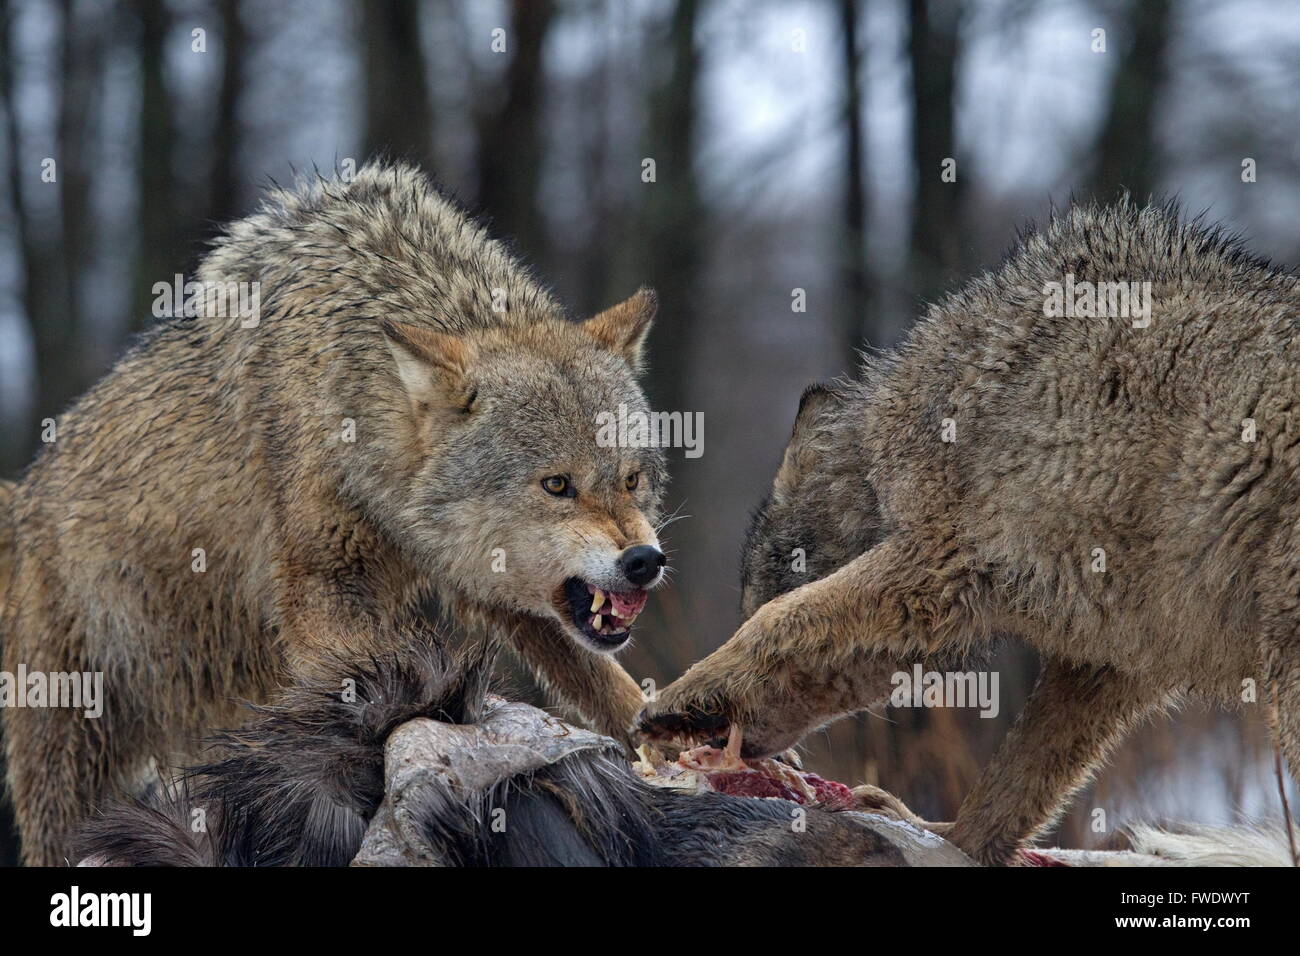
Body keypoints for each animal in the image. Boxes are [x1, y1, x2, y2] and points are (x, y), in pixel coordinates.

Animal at [1, 162, 668, 866]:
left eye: (631, 479)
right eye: (557, 485)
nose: (644, 560)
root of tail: (24, 499)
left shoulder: (491, 590)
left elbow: (606, 684)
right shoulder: (321, 588)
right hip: (72, 755)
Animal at [640, 200, 1300, 865]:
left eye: (753, 600)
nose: (722, 742)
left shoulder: (938, 561)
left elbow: (785, 621)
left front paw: (679, 696)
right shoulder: (1107, 660)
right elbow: (1016, 780)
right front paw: (946, 837)